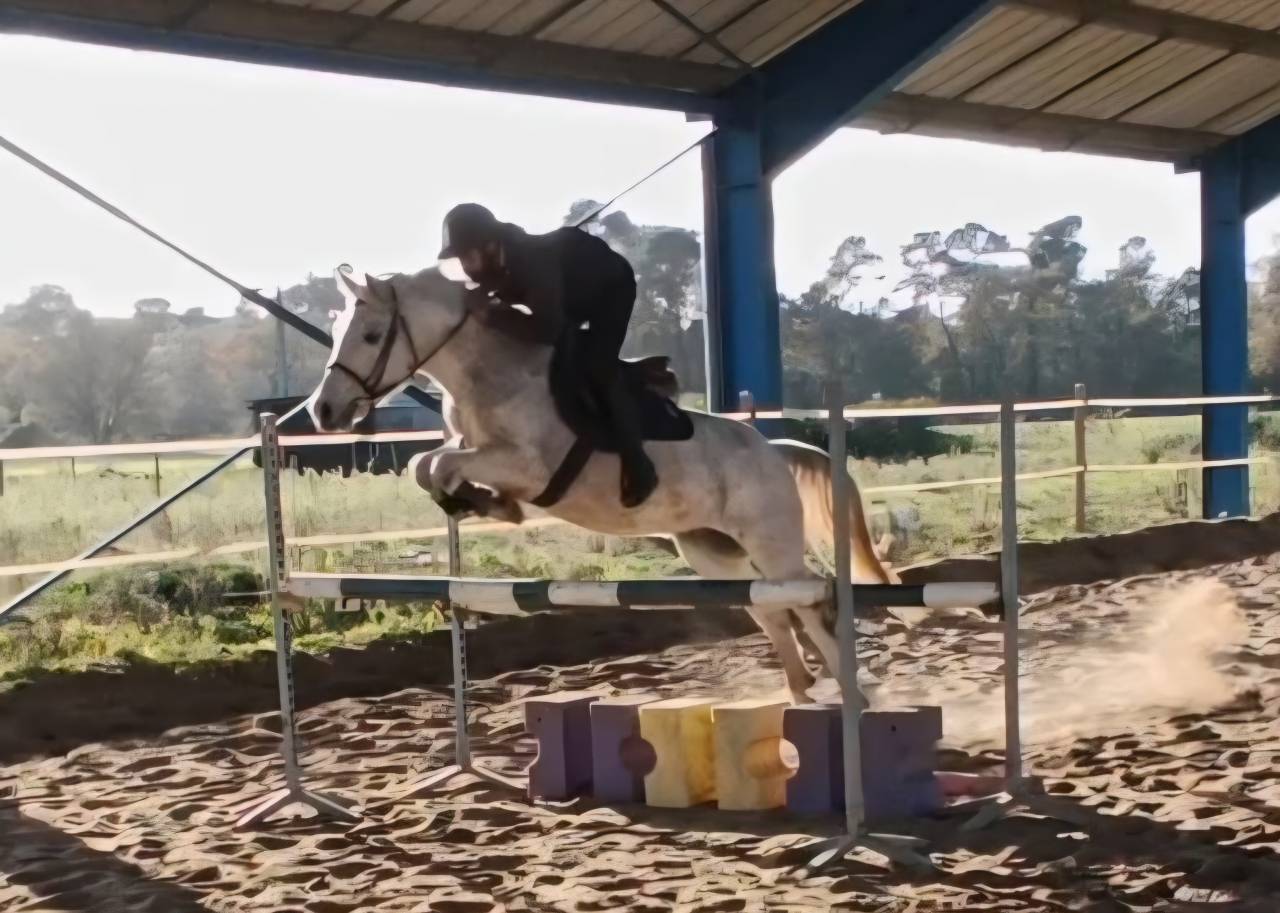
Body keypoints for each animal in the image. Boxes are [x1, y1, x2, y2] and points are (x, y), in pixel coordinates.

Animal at [307, 265, 893, 703]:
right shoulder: (475, 453)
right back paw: (801, 688)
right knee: (770, 607)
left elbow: (441, 465)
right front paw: (477, 503)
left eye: (370, 336)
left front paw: (486, 503)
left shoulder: (528, 467)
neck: (487, 377)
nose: (323, 411)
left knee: (810, 602)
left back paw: (853, 696)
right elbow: (425, 464)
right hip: (715, 554)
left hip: (772, 546)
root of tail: (773, 450)